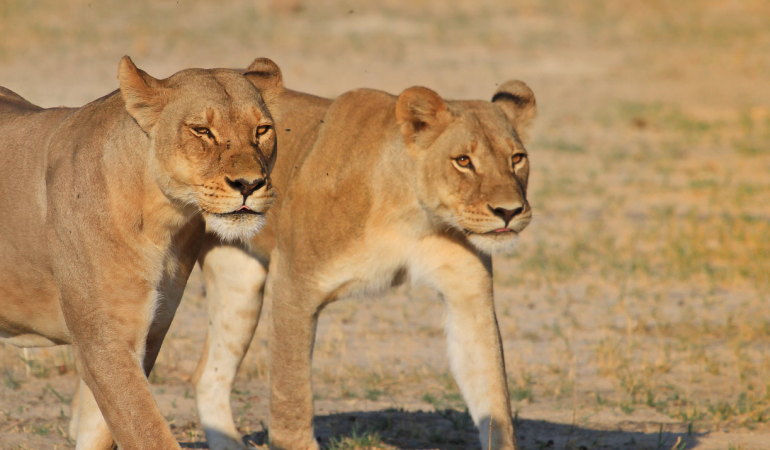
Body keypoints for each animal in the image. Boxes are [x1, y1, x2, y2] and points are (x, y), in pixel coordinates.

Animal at [0, 56, 283, 450]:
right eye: (201, 131)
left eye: (262, 130)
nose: (249, 184)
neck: (162, 220)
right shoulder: (104, 345)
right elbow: (148, 432)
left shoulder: (147, 335)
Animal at [192, 81, 536, 450]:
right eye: (463, 161)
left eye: (517, 159)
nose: (509, 211)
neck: (411, 216)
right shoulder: (294, 285)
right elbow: (291, 394)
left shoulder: (469, 300)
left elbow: (493, 398)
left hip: (239, 282)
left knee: (208, 376)